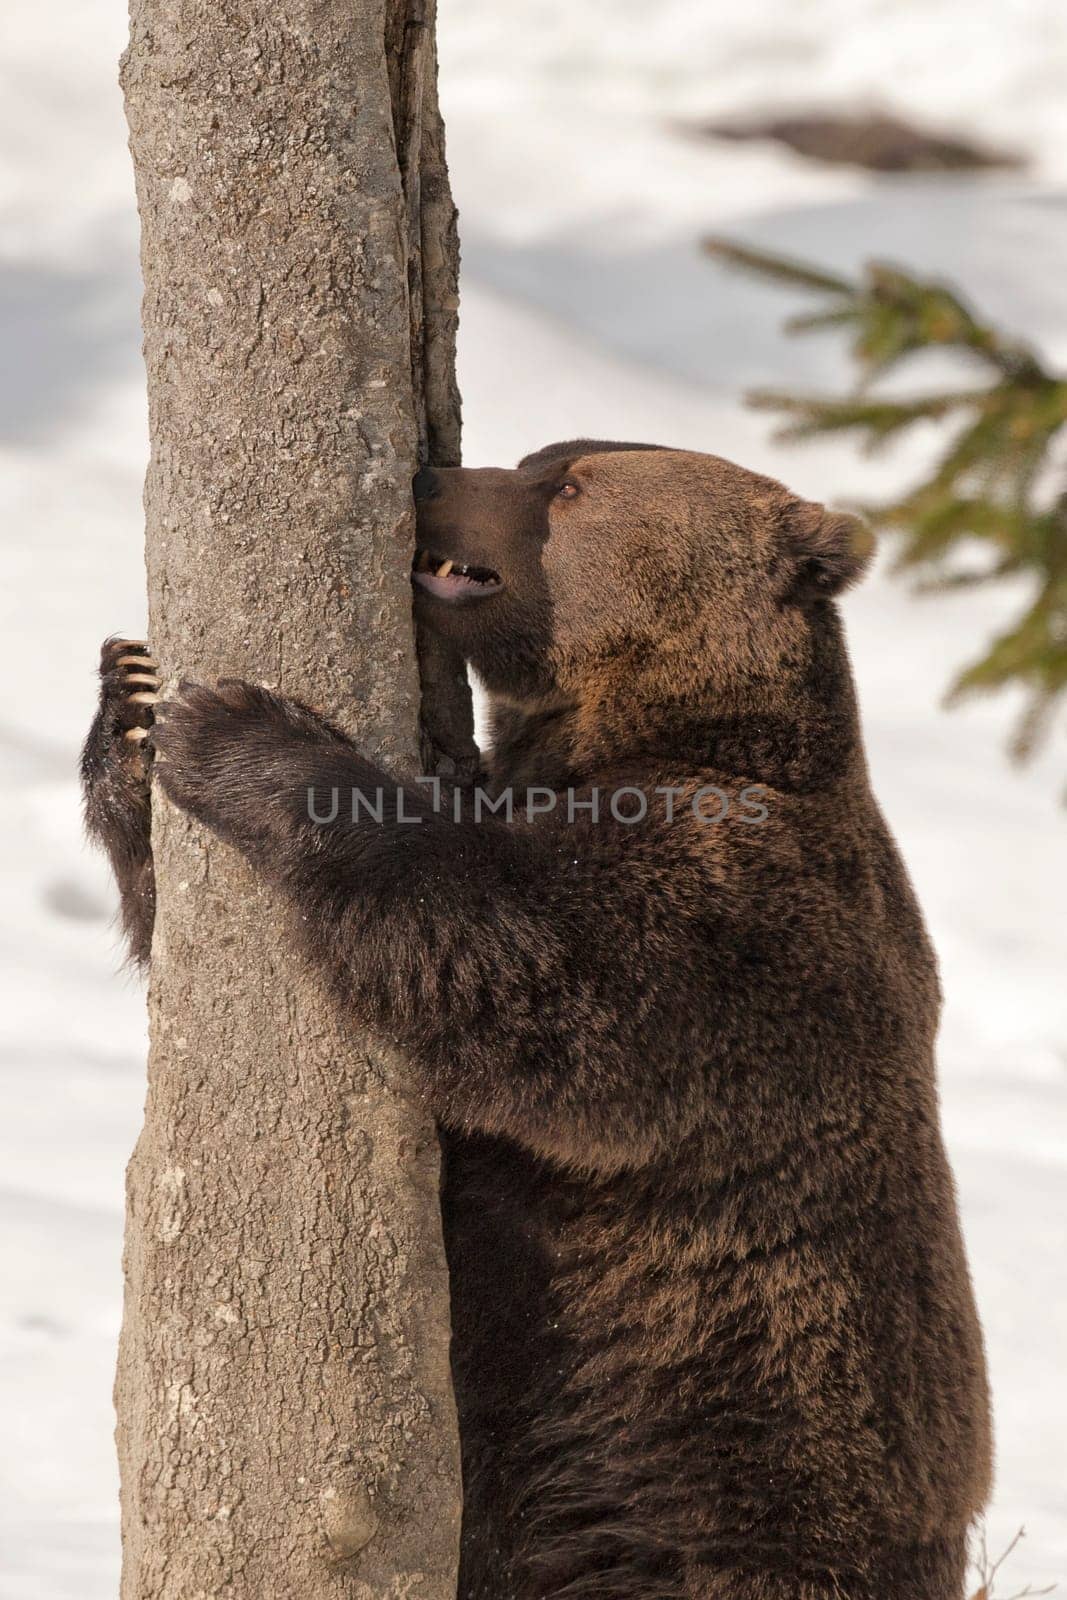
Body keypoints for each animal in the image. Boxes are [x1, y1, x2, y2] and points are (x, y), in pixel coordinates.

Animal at [83, 441, 991, 1600]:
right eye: (538, 458)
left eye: (568, 484)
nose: (431, 478)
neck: (654, 726)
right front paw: (133, 696)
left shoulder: (733, 914)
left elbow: (520, 967)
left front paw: (244, 734)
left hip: (726, 1480)